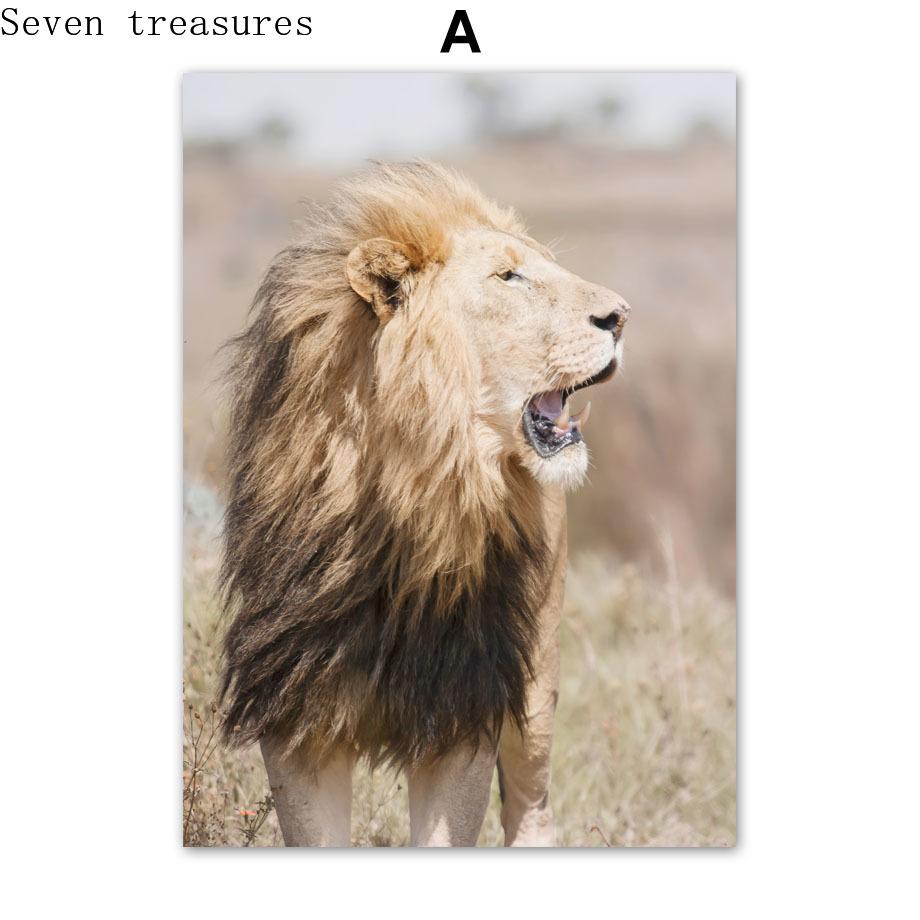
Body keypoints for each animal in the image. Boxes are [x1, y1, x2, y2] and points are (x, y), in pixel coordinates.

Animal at [219, 161, 630, 846]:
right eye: (509, 277)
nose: (622, 316)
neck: (408, 499)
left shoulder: (464, 706)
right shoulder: (296, 711)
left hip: (536, 683)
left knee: (532, 807)